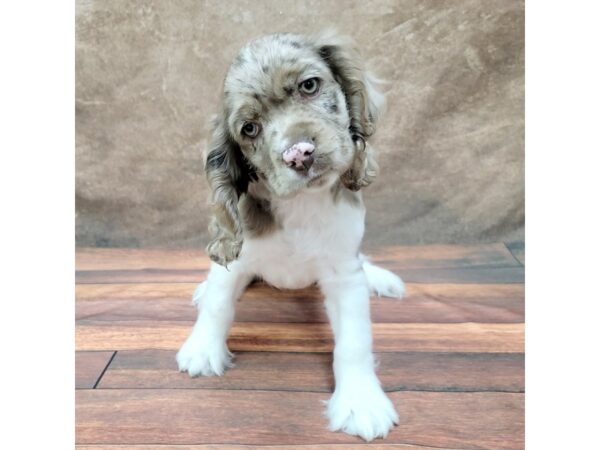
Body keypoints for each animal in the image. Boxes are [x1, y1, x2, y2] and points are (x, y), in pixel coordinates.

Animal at [176, 32, 406, 442]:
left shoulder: (344, 272)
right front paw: (203, 349)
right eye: (249, 129)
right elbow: (219, 303)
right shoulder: (238, 260)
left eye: (309, 86)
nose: (299, 154)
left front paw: (361, 401)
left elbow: (354, 341)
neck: (299, 205)